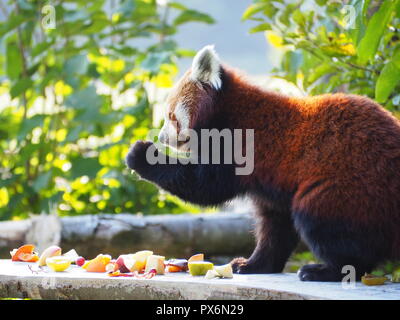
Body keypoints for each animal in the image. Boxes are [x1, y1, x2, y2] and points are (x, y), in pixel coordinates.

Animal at [126, 45, 400, 282]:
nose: (162, 138)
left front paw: (142, 154)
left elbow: (203, 186)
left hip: (348, 186)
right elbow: (274, 226)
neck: (225, 112)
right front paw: (254, 264)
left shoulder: (238, 147)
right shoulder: (271, 184)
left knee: (320, 218)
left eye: (171, 115)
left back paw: (328, 270)